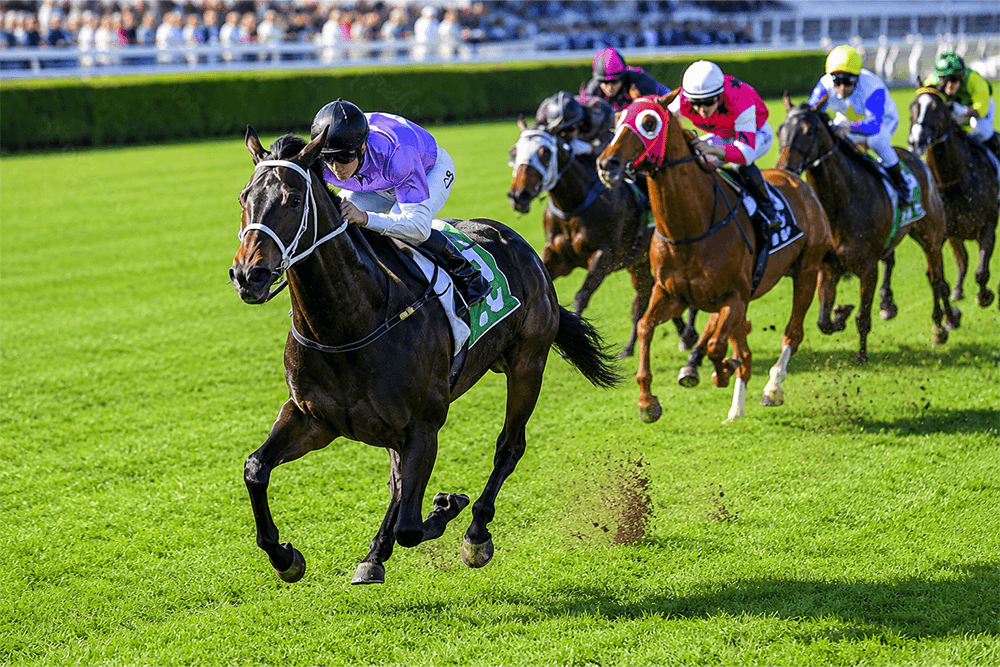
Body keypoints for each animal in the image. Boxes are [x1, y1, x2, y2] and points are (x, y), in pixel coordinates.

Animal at [230, 127, 623, 585]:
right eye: (244, 197)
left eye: (293, 200)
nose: (248, 275)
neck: (350, 322)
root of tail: (526, 249)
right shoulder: (313, 418)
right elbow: (256, 468)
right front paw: (285, 556)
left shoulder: (423, 426)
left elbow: (411, 527)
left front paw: (447, 506)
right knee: (400, 483)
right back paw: (376, 554)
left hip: (529, 363)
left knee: (508, 447)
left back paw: (475, 533)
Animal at [507, 122, 699, 357]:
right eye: (514, 152)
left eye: (545, 152)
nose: (519, 195)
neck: (573, 205)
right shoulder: (556, 258)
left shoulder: (604, 256)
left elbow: (581, 295)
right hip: (640, 261)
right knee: (645, 293)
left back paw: (688, 333)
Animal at [596, 93, 833, 423]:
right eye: (617, 121)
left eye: (649, 122)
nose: (607, 164)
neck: (691, 229)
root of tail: (794, 178)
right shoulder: (670, 293)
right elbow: (645, 326)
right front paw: (647, 401)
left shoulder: (734, 295)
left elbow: (717, 345)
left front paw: (722, 371)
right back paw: (735, 406)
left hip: (806, 271)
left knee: (792, 333)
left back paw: (771, 387)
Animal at [776, 93, 960, 363]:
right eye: (780, 130)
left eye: (808, 131)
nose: (785, 167)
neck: (841, 203)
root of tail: (916, 158)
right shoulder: (828, 267)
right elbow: (823, 321)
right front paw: (841, 313)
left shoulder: (868, 267)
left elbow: (863, 317)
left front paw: (861, 355)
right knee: (899, 264)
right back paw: (892, 305)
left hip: (931, 238)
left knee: (937, 281)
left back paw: (943, 325)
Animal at [907, 85, 999, 310]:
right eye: (912, 107)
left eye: (937, 108)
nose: (915, 141)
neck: (955, 182)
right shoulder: (943, 234)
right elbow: (949, 269)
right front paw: (955, 292)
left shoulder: (987, 227)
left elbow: (981, 271)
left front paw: (985, 296)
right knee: (962, 259)